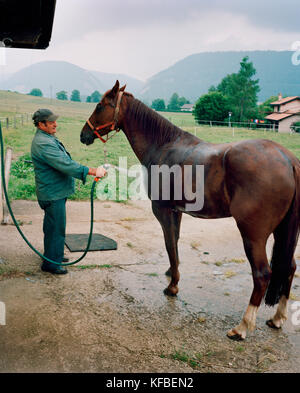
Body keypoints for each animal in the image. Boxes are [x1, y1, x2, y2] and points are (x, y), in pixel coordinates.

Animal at [79, 80, 300, 340]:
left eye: (100, 105)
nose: (83, 135)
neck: (164, 145)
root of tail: (288, 159)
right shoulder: (177, 212)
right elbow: (174, 243)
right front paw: (171, 272)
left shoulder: (163, 211)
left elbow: (169, 244)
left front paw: (173, 286)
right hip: (284, 231)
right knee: (289, 268)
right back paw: (277, 318)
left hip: (253, 235)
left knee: (262, 274)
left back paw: (243, 326)